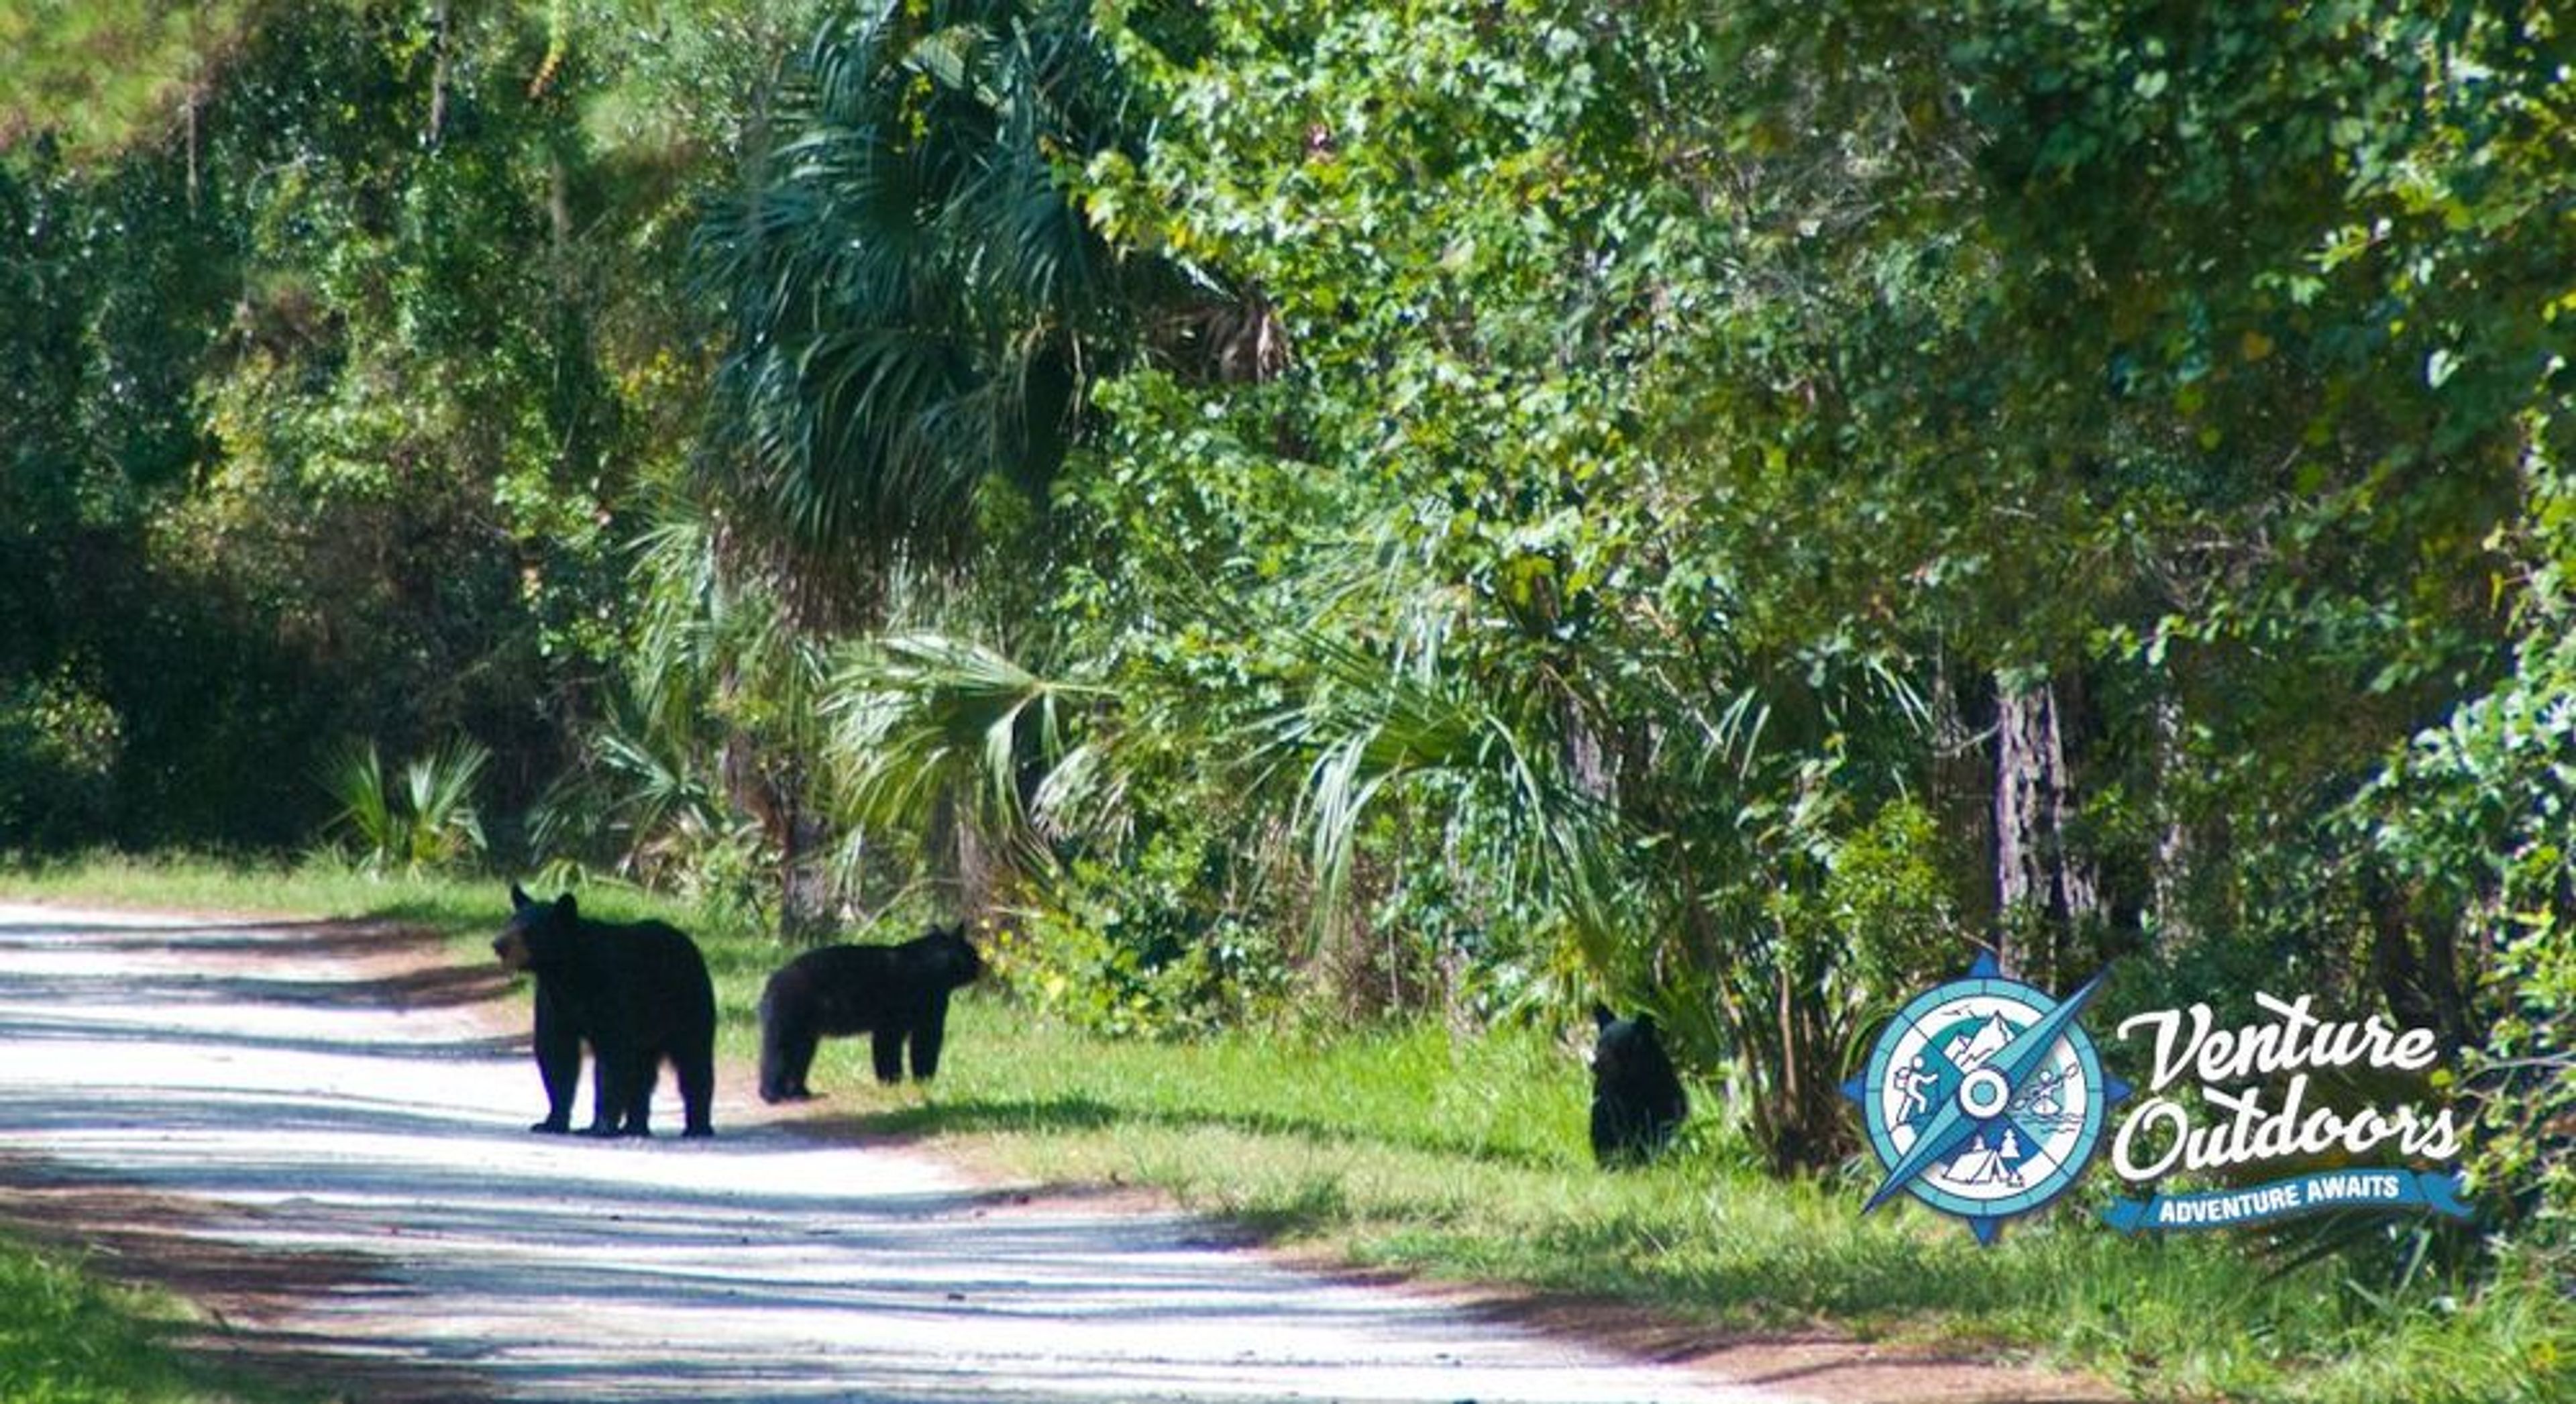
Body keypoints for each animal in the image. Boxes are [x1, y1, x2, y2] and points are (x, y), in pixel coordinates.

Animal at [493, 884, 717, 1139]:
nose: (498, 944)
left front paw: (599, 1127)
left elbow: (612, 1057)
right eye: (510, 921)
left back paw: (697, 1127)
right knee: (643, 1072)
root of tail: (689, 943)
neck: (568, 973)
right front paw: (551, 1122)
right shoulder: (554, 1001)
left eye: (529, 930)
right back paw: (635, 1127)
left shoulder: (610, 990)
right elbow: (556, 1053)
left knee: (693, 1059)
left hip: (687, 1005)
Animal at [757, 924, 982, 1103]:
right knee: (778, 1053)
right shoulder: (916, 1012)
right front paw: (905, 1082)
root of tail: (770, 985)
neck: (934, 966)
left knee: (801, 1056)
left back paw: (800, 1092)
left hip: (806, 1031)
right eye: (974, 953)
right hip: (788, 1017)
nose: (981, 966)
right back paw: (772, 1094)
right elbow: (915, 1045)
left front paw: (904, 1083)